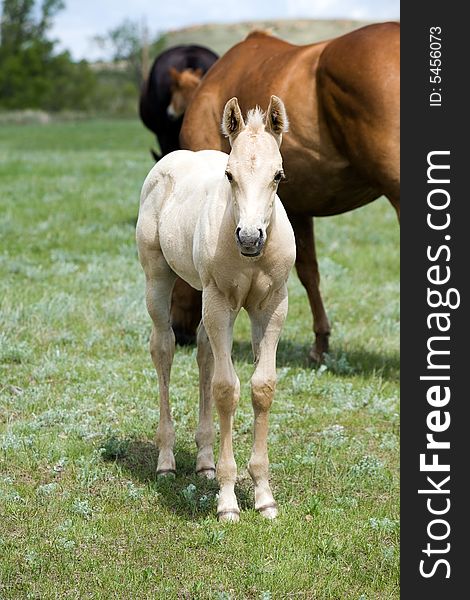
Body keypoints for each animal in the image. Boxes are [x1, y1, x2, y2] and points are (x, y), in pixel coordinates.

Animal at [136, 96, 296, 516]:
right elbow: (226, 388)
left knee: (205, 353)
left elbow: (262, 387)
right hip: (159, 278)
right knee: (164, 348)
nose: (250, 238)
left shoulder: (272, 306)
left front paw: (264, 496)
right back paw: (166, 461)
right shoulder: (221, 302)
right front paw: (227, 502)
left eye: (278, 176)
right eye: (229, 175)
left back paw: (205, 463)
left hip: (205, 297)